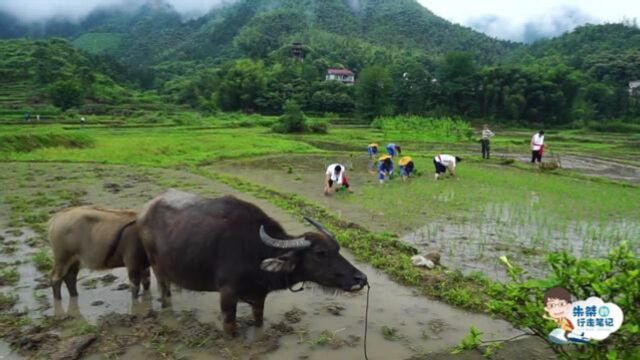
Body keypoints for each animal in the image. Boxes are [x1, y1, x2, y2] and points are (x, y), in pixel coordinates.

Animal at [138, 190, 368, 334]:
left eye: (337, 249)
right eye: (320, 253)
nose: (361, 278)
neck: (256, 252)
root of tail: (145, 211)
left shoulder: (259, 297)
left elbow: (258, 321)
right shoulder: (227, 295)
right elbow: (231, 328)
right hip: (158, 268)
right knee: (164, 291)